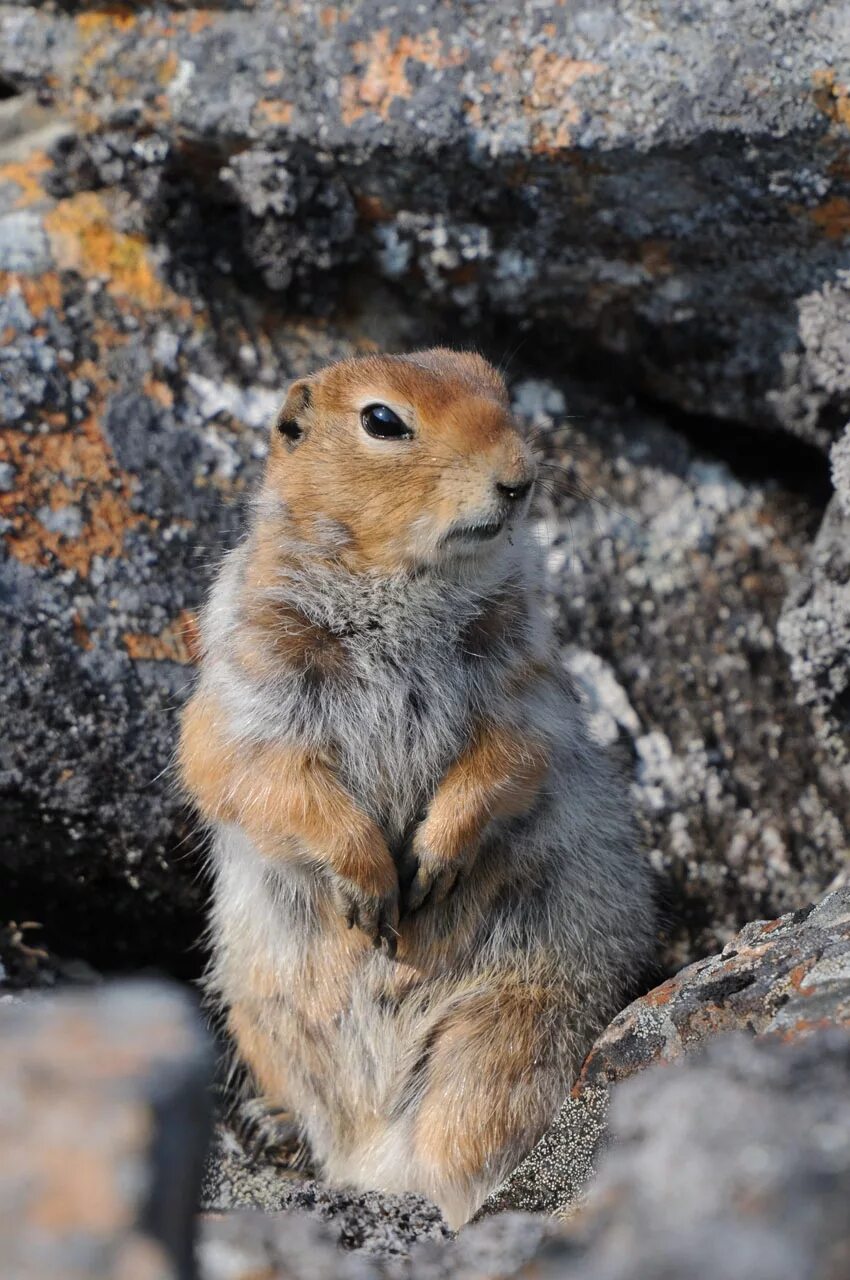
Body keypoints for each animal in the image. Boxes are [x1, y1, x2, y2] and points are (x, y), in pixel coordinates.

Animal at [179, 345, 655, 1223]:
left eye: (500, 389)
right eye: (382, 420)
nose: (519, 478)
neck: (404, 587)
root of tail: (366, 1156)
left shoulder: (524, 681)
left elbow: (507, 757)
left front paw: (431, 864)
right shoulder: (252, 674)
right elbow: (249, 769)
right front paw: (370, 883)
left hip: (501, 1042)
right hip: (259, 1012)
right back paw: (279, 1127)